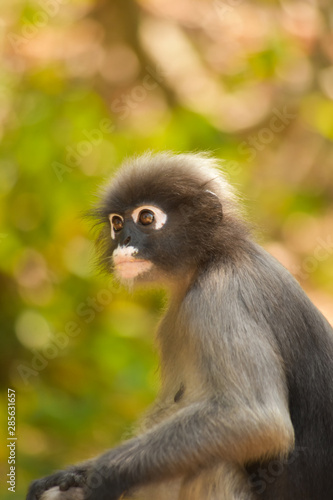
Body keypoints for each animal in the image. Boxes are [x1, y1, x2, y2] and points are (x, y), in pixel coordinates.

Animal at [27, 152, 332, 500]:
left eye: (146, 218)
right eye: (117, 223)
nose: (124, 239)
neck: (212, 257)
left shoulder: (220, 298)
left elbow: (256, 419)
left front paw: (97, 479)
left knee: (214, 464)